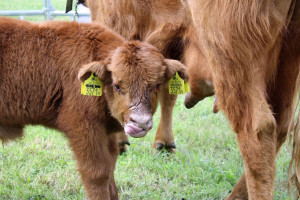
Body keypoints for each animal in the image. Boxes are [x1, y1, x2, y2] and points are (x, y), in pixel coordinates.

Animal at [0, 17, 188, 200]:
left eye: (157, 85)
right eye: (117, 86)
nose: (140, 122)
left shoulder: (108, 135)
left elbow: (110, 169)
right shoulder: (84, 129)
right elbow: (97, 173)